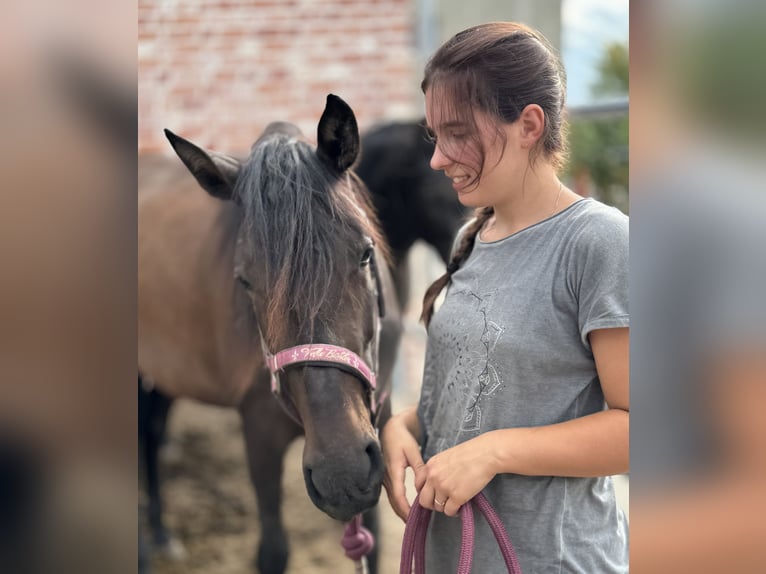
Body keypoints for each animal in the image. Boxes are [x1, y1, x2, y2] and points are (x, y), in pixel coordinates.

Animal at [139, 95, 402, 574]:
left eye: (365, 253)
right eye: (244, 282)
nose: (342, 473)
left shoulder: (382, 419)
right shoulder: (258, 433)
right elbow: (273, 551)